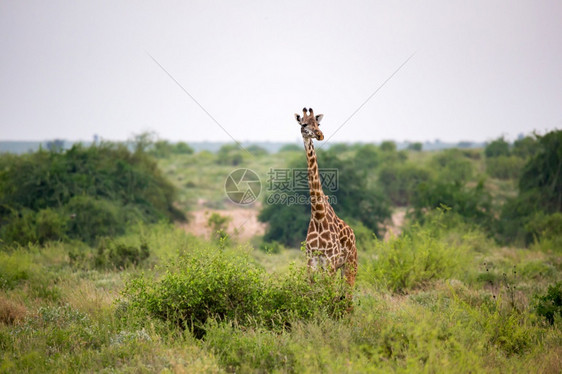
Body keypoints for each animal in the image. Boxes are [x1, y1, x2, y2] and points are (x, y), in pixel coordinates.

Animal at [290, 106, 356, 288]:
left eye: (317, 123)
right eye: (304, 124)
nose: (320, 135)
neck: (318, 215)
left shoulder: (330, 262)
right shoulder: (311, 261)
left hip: (350, 264)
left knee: (349, 294)